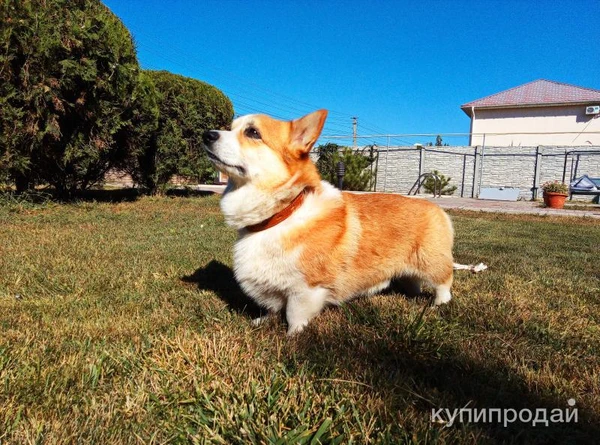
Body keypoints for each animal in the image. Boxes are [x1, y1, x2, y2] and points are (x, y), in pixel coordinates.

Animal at [202, 110, 460, 332]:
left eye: (253, 132)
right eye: (230, 128)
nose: (207, 134)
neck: (283, 213)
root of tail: (438, 209)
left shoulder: (305, 289)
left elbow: (294, 315)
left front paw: (292, 336)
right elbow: (273, 308)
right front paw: (262, 321)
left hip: (431, 263)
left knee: (444, 282)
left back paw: (439, 304)